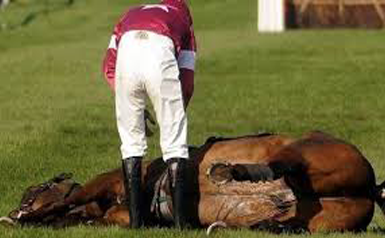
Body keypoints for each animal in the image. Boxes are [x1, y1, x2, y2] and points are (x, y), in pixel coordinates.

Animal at [0, 130, 384, 232]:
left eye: (33, 191)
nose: (19, 204)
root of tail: (370, 188)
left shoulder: (109, 183)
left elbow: (68, 200)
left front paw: (23, 218)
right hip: (326, 215)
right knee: (293, 221)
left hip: (312, 149)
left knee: (285, 163)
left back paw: (232, 173)